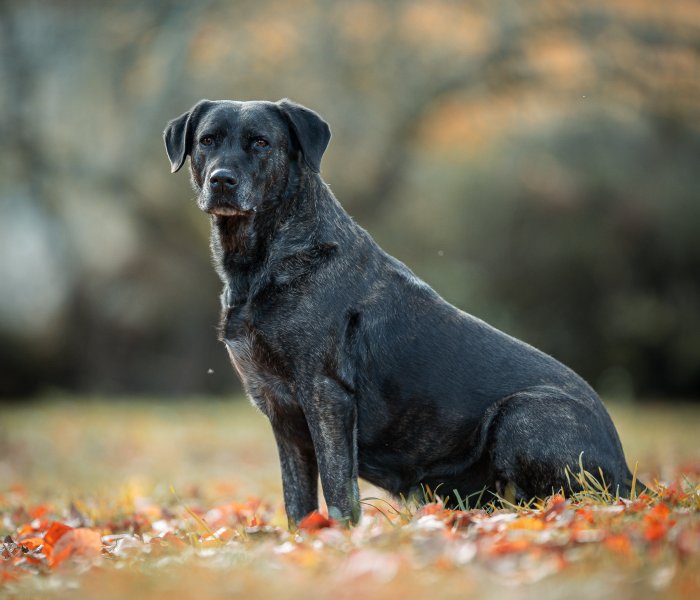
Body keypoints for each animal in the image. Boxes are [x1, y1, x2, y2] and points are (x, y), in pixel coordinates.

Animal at [164, 98, 636, 524]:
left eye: (260, 143)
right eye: (207, 140)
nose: (221, 180)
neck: (265, 260)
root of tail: (628, 475)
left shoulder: (325, 393)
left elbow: (338, 490)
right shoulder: (281, 411)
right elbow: (297, 501)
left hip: (521, 414)